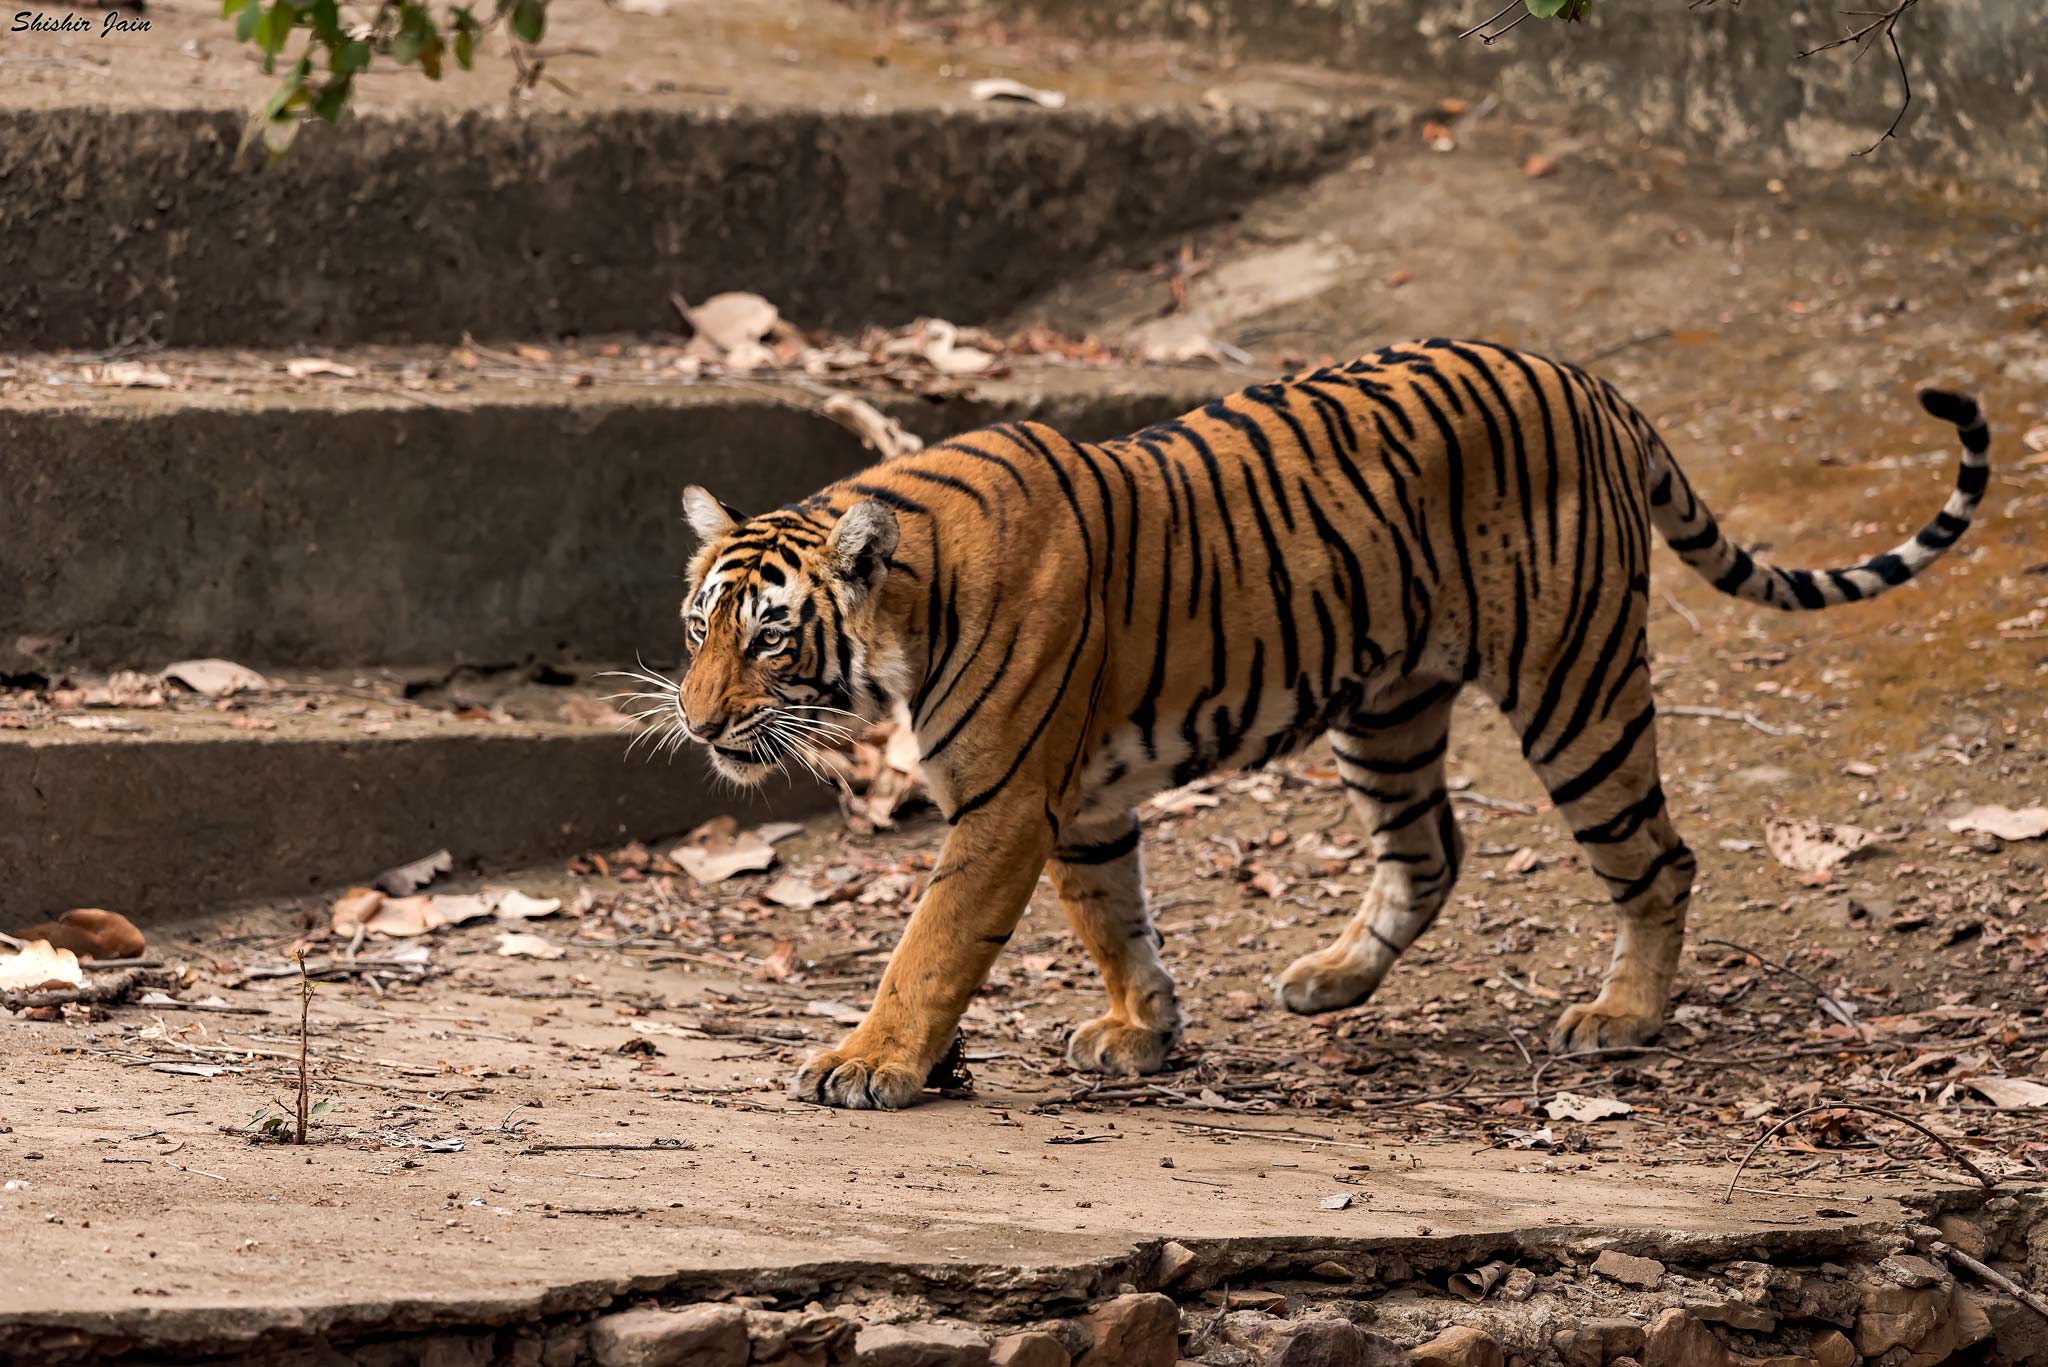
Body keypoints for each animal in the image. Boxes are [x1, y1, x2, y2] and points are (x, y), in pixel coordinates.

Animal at [647, 340, 1990, 1114]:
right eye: (698, 623)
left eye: (769, 637)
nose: (702, 724)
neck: (905, 614)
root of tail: (1592, 384)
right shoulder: (1080, 803)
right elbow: (1112, 917)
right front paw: (1144, 1031)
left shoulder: (1005, 803)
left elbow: (930, 946)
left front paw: (870, 1061)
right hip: (1385, 706)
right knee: (1430, 848)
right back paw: (1330, 977)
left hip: (1575, 683)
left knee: (1656, 856)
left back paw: (1622, 1017)